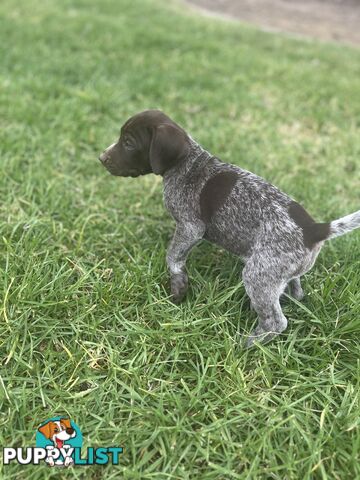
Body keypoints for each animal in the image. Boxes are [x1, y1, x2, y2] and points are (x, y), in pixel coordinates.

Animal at [99, 110, 360, 346]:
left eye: (128, 143)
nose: (101, 157)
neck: (186, 164)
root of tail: (314, 229)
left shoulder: (190, 226)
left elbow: (173, 256)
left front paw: (178, 285)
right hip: (283, 271)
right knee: (295, 289)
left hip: (259, 274)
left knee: (276, 322)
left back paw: (248, 343)